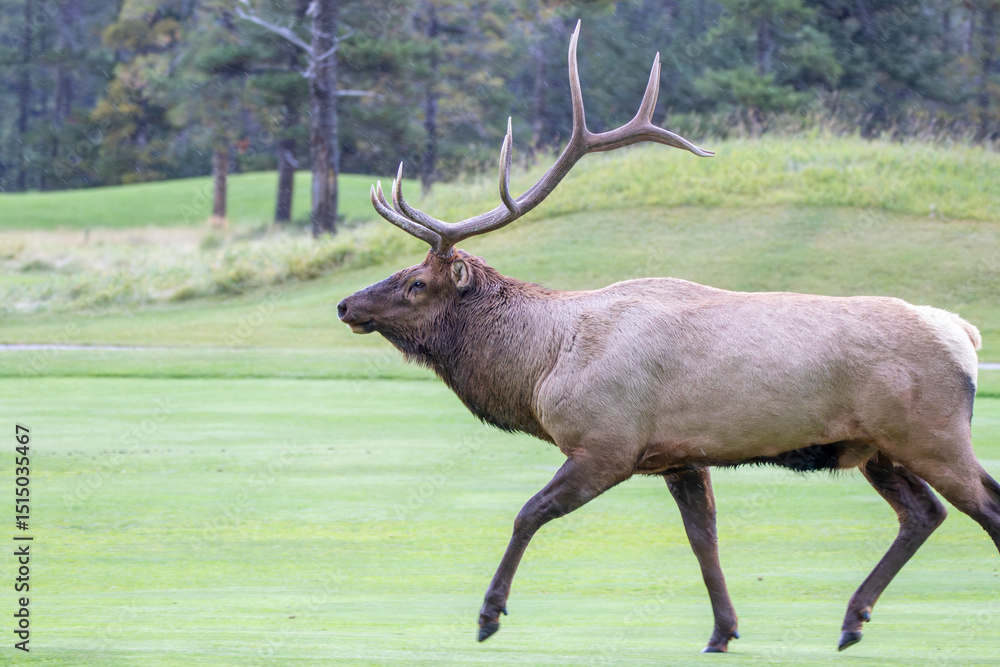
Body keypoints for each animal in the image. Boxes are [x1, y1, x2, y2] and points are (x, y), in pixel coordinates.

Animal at [337, 22, 1000, 653]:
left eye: (417, 282)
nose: (346, 304)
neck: (541, 367)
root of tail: (966, 333)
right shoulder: (680, 455)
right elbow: (703, 540)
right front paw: (722, 630)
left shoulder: (607, 443)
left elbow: (528, 514)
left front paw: (488, 615)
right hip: (877, 447)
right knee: (924, 513)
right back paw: (852, 619)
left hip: (931, 432)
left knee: (984, 505)